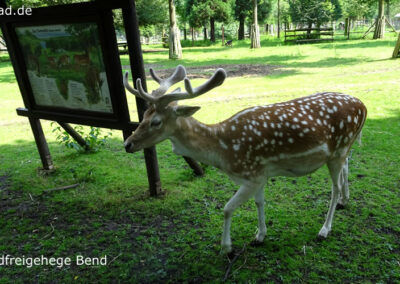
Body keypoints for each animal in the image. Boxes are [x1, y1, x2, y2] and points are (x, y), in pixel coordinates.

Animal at [123, 65, 368, 253]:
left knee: (334, 187)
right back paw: (345, 201)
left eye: (156, 121)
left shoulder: (251, 174)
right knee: (346, 168)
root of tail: (363, 106)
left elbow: (227, 208)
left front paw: (226, 247)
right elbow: (259, 202)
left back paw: (324, 229)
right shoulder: (260, 174)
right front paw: (260, 235)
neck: (223, 152)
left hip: (339, 148)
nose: (128, 144)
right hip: (341, 150)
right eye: (143, 115)